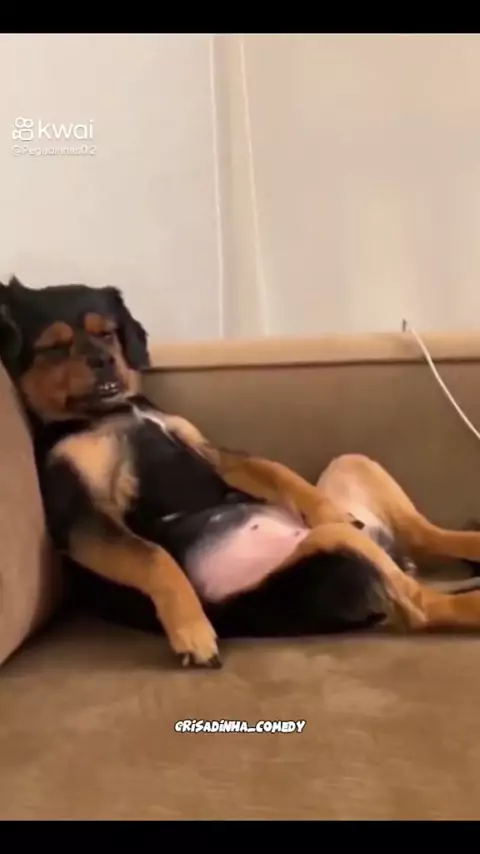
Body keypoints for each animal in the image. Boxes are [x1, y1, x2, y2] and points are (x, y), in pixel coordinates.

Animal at [3, 277, 480, 669]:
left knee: (422, 533)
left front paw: (325, 507)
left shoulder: (213, 453)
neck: (109, 414)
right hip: (333, 551)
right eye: (54, 347)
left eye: (107, 334)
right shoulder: (81, 517)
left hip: (353, 464)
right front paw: (192, 629)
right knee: (424, 605)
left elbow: (275, 470)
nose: (104, 360)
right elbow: (154, 555)